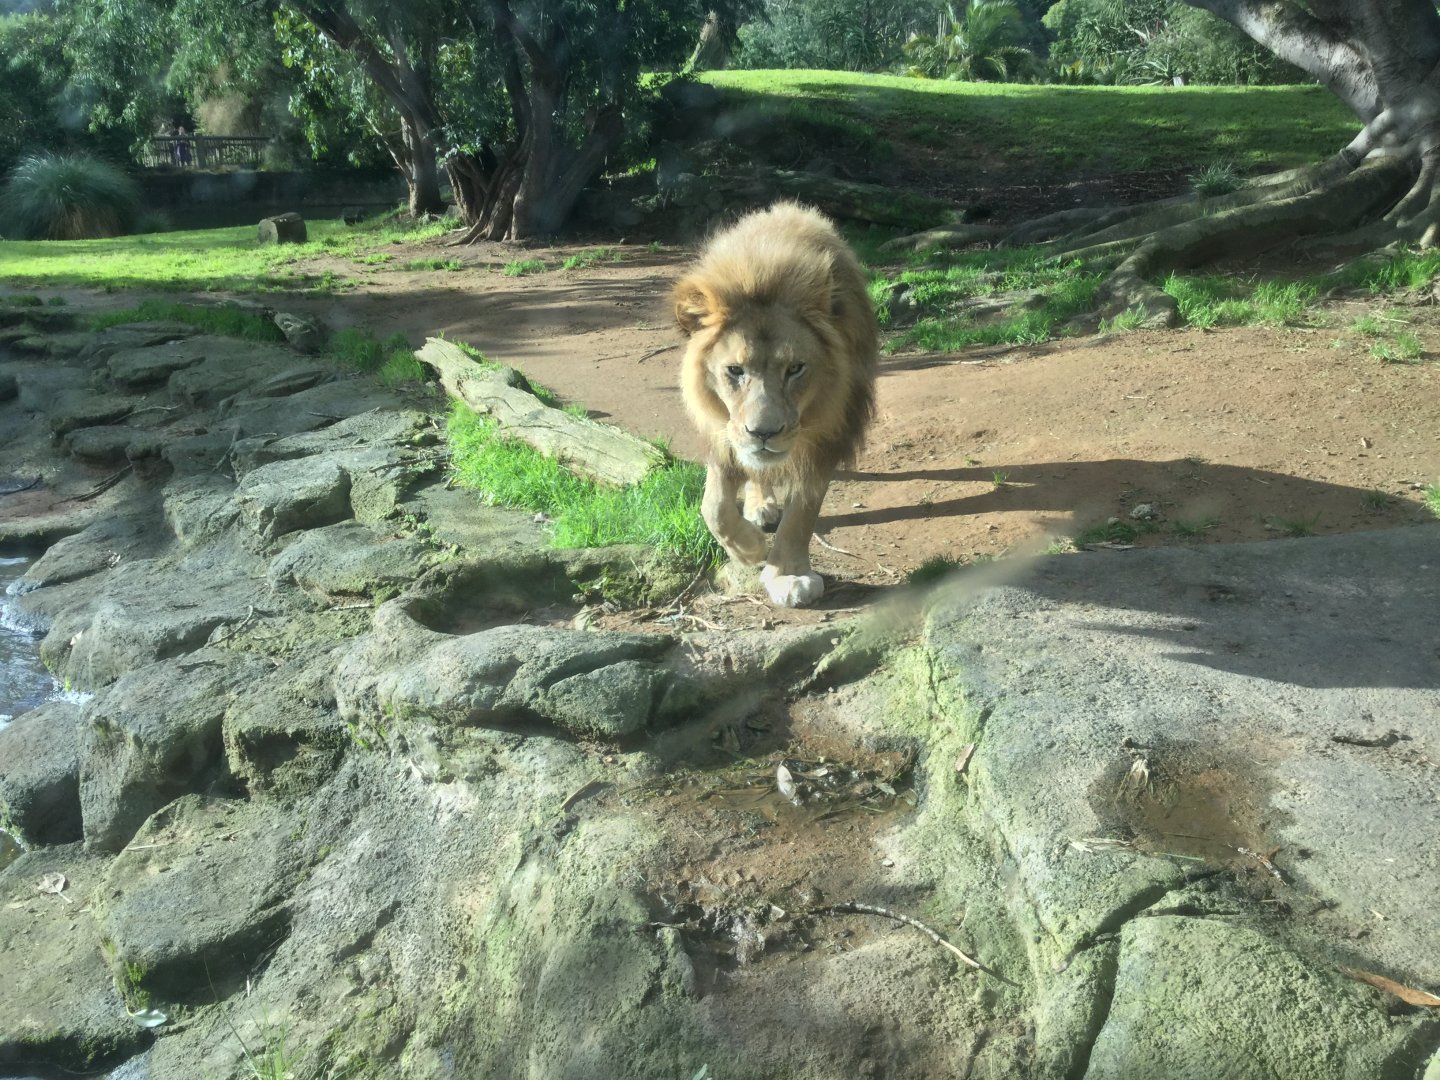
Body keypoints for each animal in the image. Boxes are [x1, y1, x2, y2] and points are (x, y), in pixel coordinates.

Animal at [672, 202, 878, 607]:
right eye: (735, 370)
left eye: (795, 368)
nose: (763, 433)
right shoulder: (726, 431)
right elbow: (713, 507)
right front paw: (750, 549)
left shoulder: (827, 435)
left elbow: (802, 512)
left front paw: (789, 575)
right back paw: (759, 506)